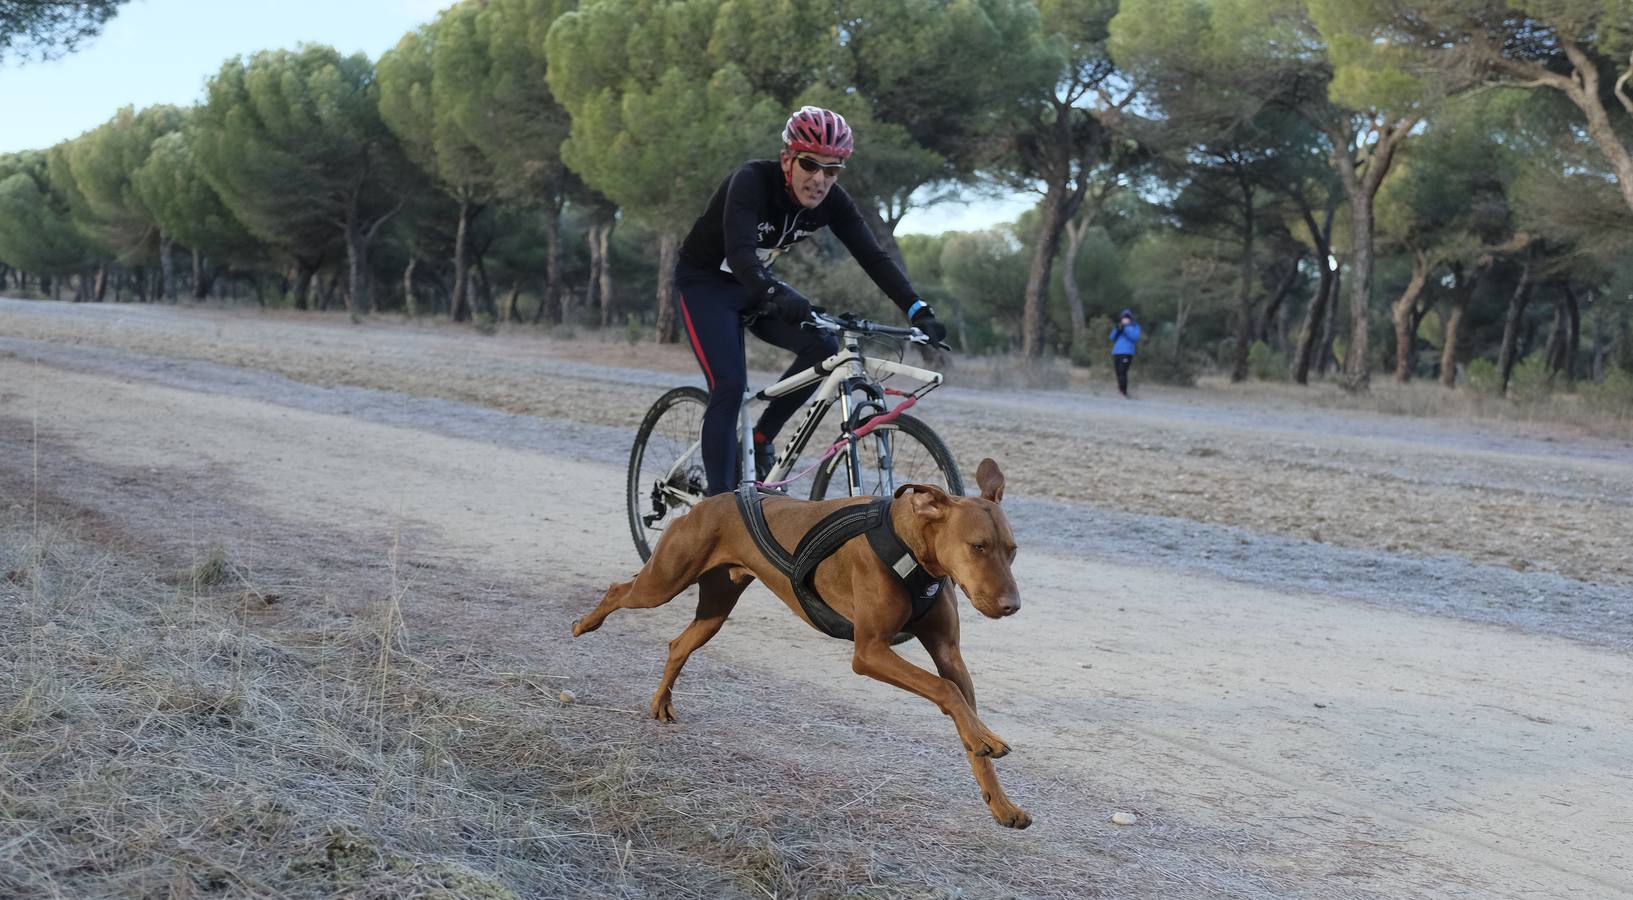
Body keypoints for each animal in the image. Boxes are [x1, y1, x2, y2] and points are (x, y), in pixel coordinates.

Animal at [578, 460, 1032, 826]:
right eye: (977, 546)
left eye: (1012, 550)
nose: (1012, 606)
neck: (912, 550)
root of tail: (707, 502)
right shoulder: (870, 651)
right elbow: (945, 689)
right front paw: (987, 740)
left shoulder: (948, 654)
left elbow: (959, 701)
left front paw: (1000, 799)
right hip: (664, 582)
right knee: (619, 590)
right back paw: (585, 624)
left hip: (715, 609)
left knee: (678, 645)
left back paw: (661, 702)